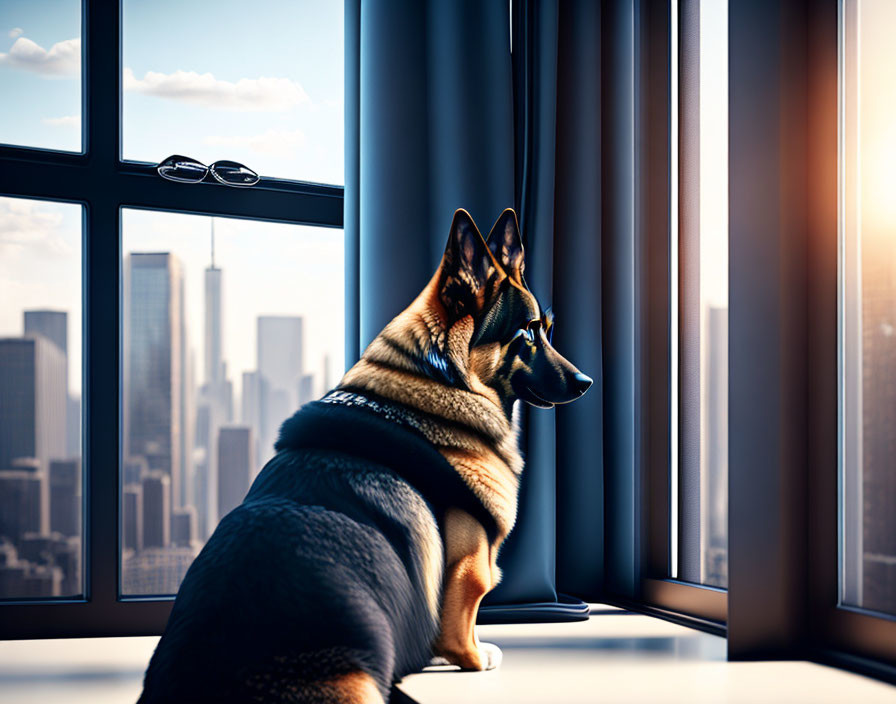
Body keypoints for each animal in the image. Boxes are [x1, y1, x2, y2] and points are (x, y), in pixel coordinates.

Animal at [138, 209, 588, 704]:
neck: (443, 381)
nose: (585, 382)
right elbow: (460, 632)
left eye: (547, 329)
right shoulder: (470, 570)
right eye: (527, 334)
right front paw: (476, 658)